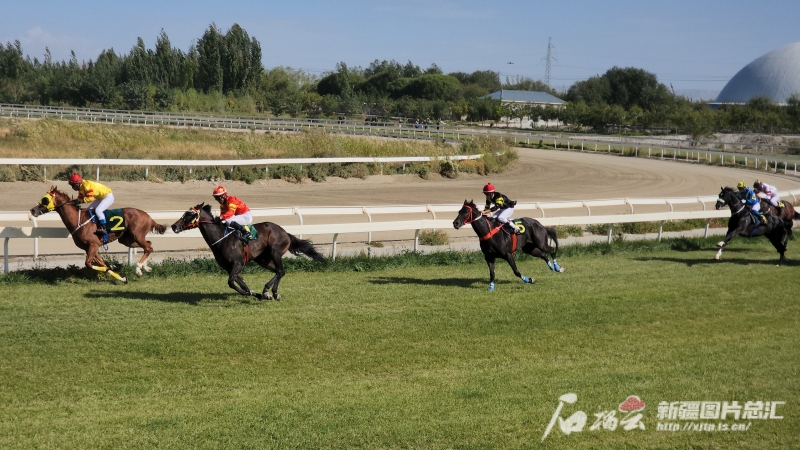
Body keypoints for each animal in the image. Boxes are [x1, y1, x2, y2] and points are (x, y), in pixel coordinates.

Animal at [30, 185, 168, 284]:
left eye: (45, 199)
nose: (32, 210)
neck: (78, 220)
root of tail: (149, 216)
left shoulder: (93, 244)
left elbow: (89, 264)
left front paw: (111, 269)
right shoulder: (90, 248)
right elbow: (102, 264)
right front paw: (121, 278)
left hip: (137, 236)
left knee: (148, 247)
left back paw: (138, 269)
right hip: (127, 240)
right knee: (149, 245)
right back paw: (146, 268)